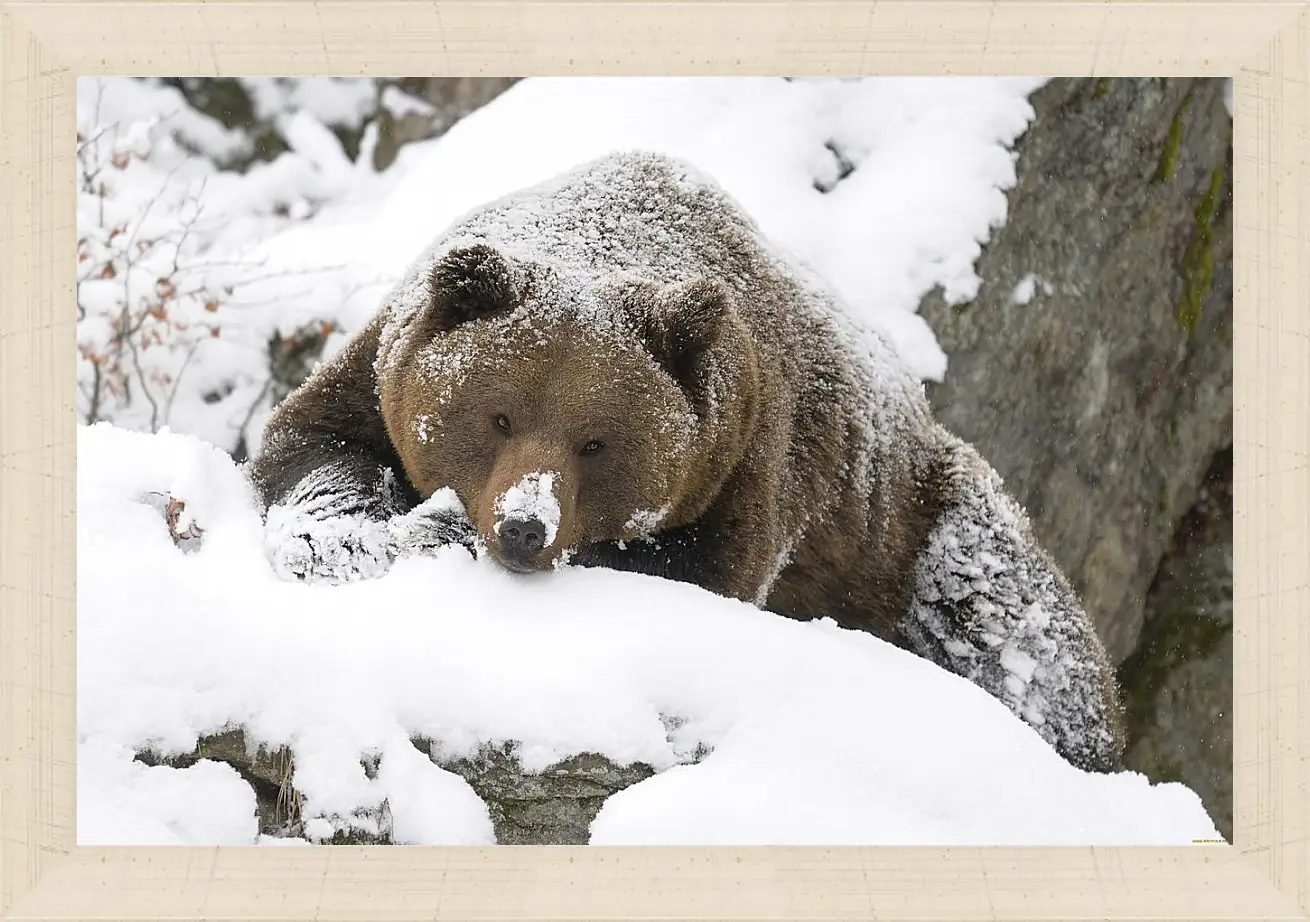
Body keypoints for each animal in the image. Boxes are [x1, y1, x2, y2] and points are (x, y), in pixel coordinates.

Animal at [247, 149, 1126, 770]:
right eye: (498, 416)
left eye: (595, 441)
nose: (526, 528)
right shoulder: (379, 367)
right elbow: (313, 446)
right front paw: (344, 536)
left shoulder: (748, 462)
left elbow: (692, 570)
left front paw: (437, 531)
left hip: (915, 529)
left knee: (1016, 632)